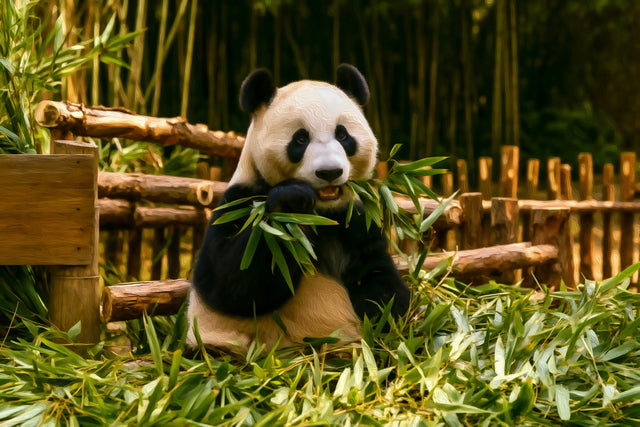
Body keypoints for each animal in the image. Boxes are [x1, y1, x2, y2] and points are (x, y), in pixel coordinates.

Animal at [187, 64, 410, 352]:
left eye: (342, 135)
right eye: (300, 139)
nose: (330, 172)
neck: (321, 212)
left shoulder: (353, 218)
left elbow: (374, 274)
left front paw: (392, 328)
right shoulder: (241, 200)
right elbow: (229, 282)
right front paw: (290, 202)